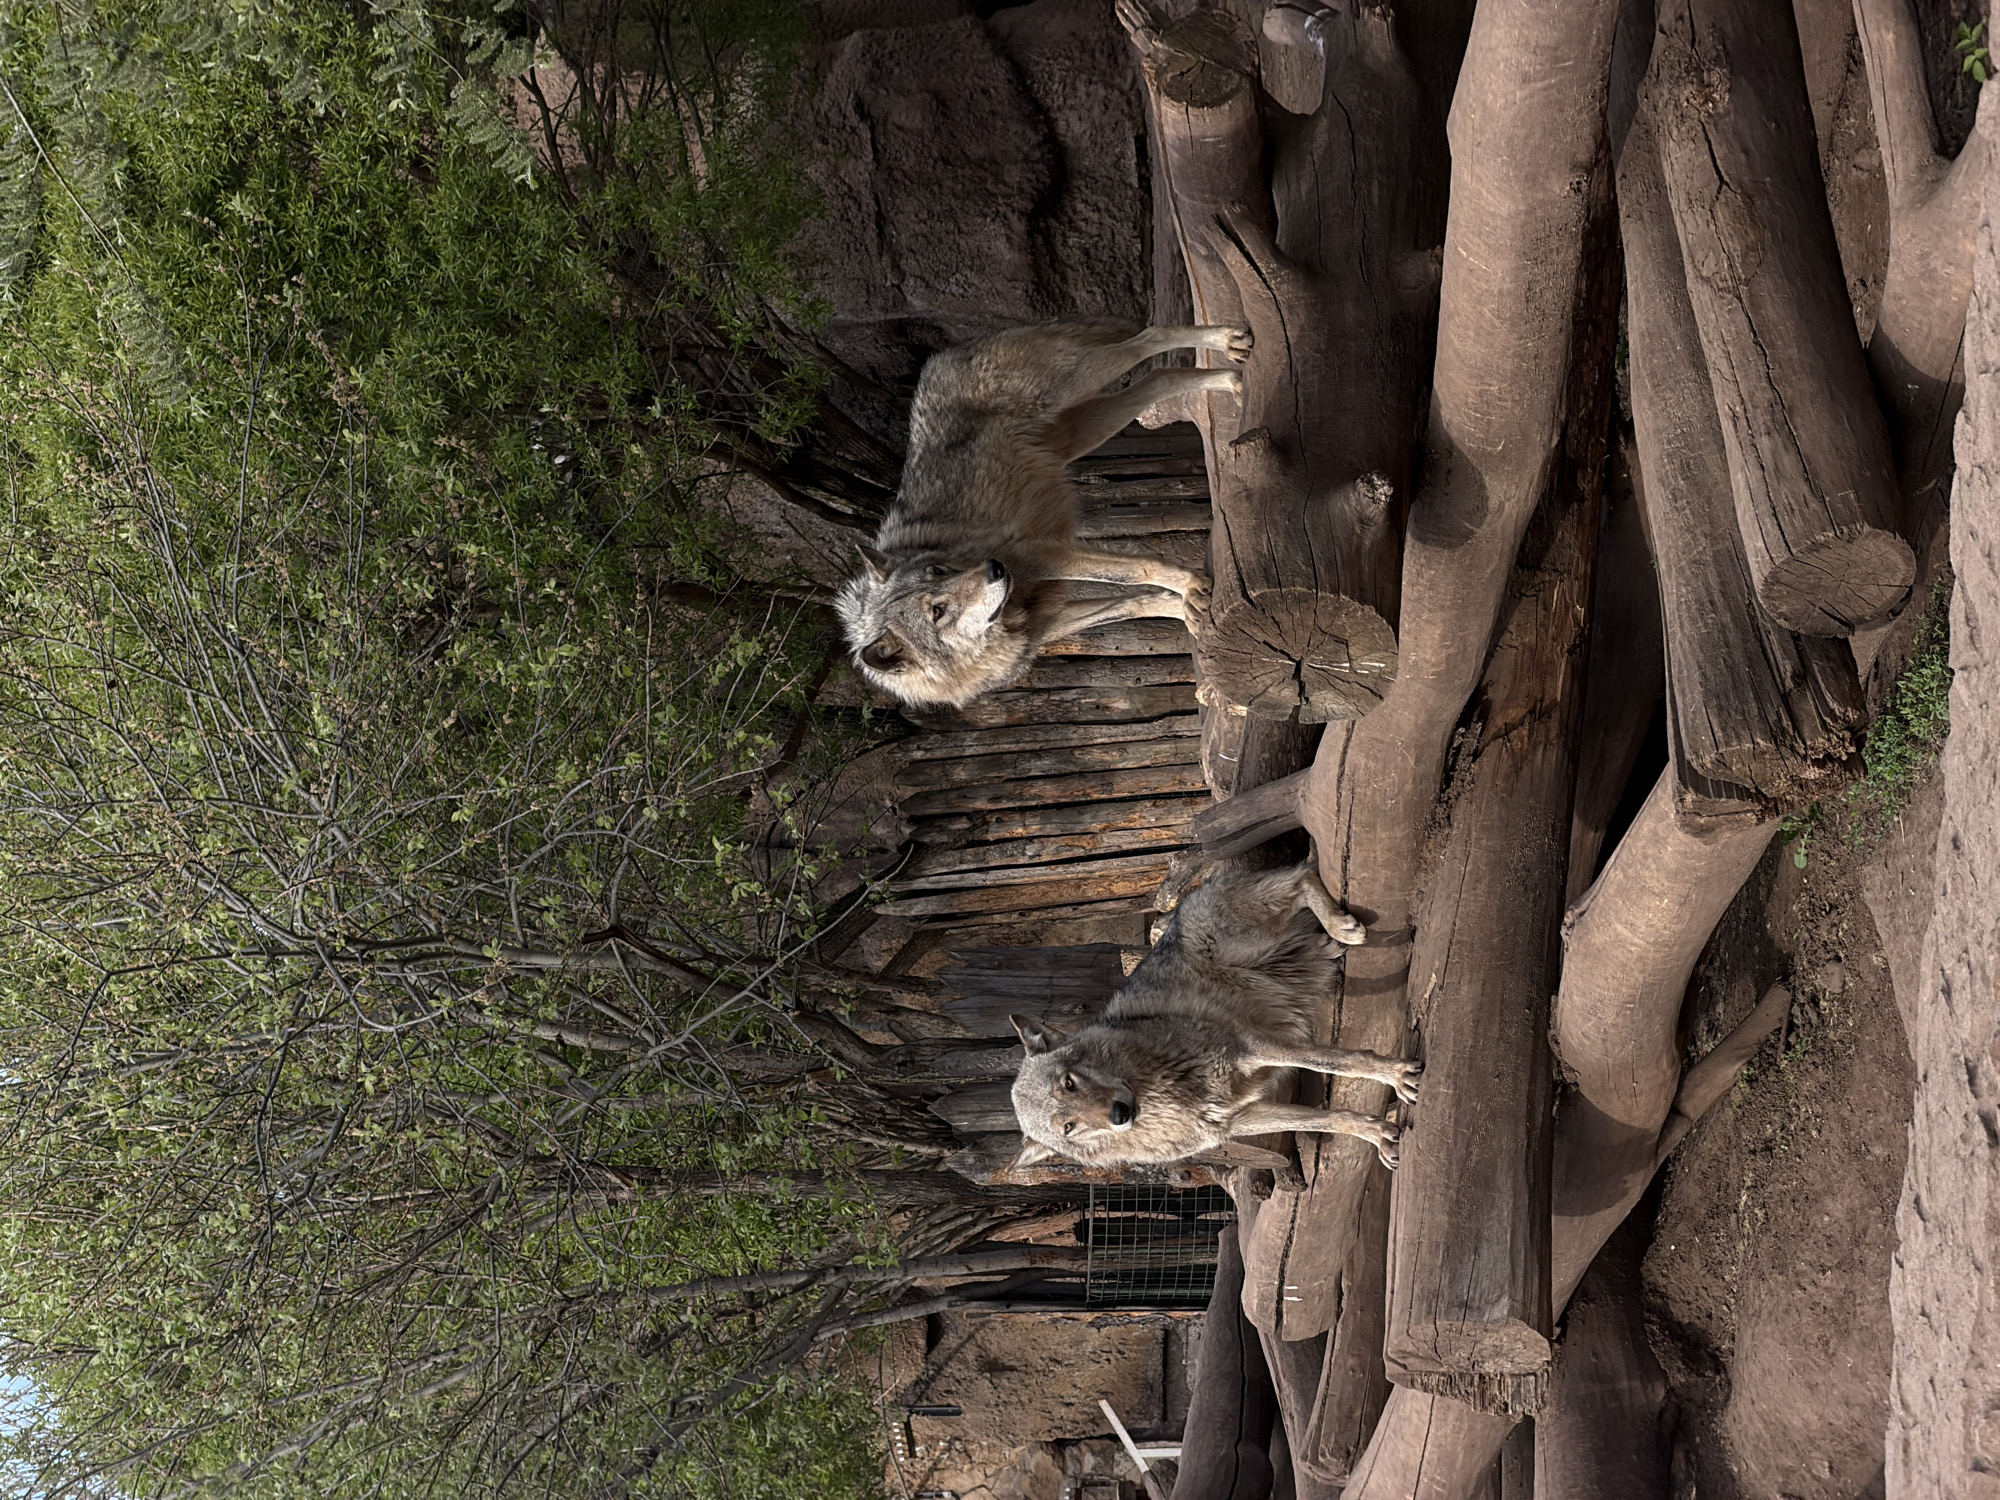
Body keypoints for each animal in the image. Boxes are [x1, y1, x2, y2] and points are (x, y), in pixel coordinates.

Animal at [835, 320, 1248, 709]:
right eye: (937, 611)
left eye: (938, 572)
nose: (995, 568)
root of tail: (938, 359)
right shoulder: (1047, 624)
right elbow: (1134, 600)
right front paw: (1185, 607)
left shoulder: (1036, 553)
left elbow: (1133, 570)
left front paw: (1188, 585)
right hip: (1087, 426)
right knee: (1161, 376)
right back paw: (1230, 379)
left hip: (1082, 382)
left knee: (1151, 337)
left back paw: (1227, 346)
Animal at [1009, 864, 1421, 1171]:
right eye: (1069, 1127)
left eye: (1068, 1083)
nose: (1119, 1113)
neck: (1163, 1096)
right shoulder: (1241, 1118)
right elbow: (1324, 1117)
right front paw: (1375, 1133)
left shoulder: (1251, 1046)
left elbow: (1340, 1062)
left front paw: (1394, 1074)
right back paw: (1328, 944)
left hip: (1243, 947)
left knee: (1302, 875)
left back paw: (1341, 926)